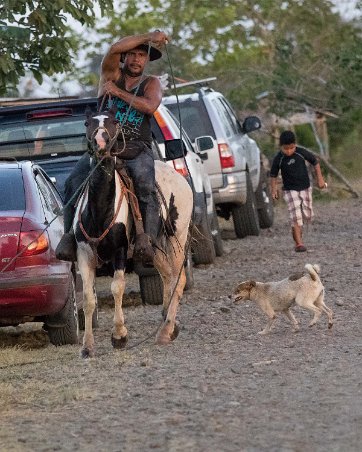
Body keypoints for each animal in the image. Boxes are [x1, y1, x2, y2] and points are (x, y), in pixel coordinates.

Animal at [74, 107, 195, 358]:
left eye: (114, 123)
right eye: (88, 123)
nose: (101, 143)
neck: (100, 210)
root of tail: (179, 177)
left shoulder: (119, 251)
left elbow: (117, 288)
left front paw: (119, 336)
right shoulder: (83, 254)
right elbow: (89, 299)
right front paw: (87, 347)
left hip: (176, 237)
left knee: (178, 279)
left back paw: (165, 331)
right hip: (154, 248)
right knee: (167, 276)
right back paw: (168, 322)